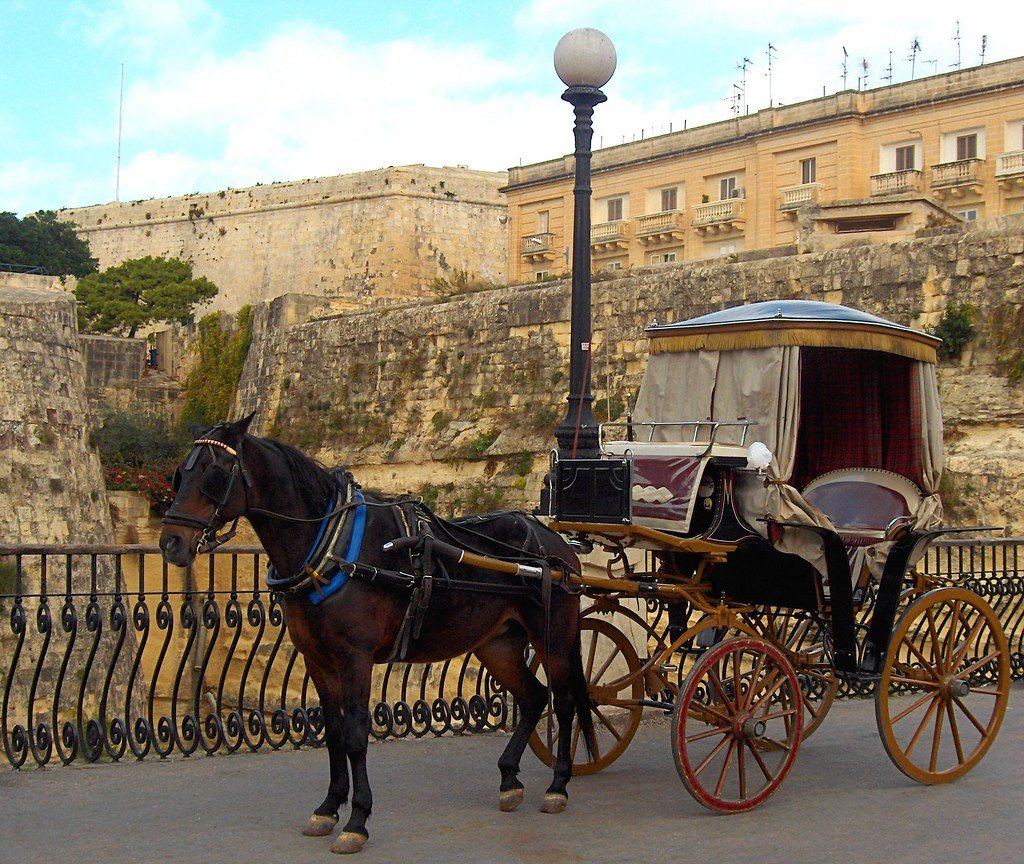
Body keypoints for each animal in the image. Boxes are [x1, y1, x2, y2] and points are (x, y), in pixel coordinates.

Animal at [155, 415, 598, 855]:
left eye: (213, 475)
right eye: (180, 475)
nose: (171, 542)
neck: (329, 546)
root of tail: (555, 543)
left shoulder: (355, 657)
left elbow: (354, 734)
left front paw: (357, 819)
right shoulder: (317, 659)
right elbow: (333, 733)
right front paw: (329, 807)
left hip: (553, 638)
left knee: (564, 703)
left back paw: (558, 784)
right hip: (497, 644)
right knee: (533, 697)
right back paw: (508, 778)